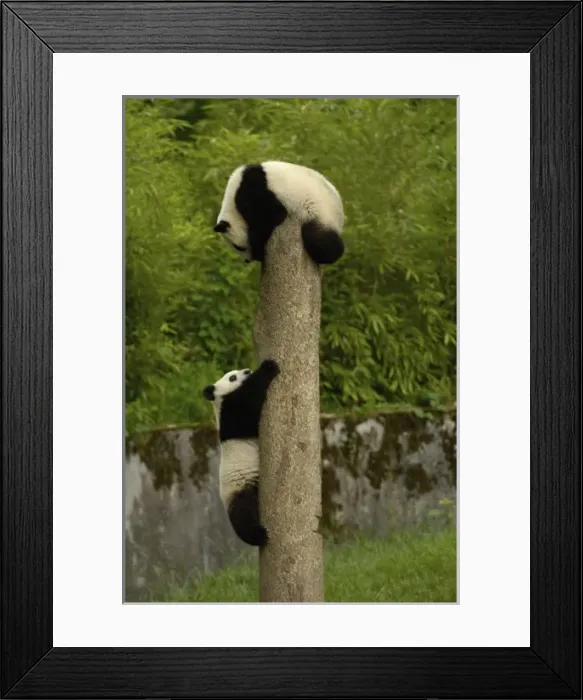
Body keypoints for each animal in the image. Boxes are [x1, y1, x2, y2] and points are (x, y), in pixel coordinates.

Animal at [202, 358, 280, 547]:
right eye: (232, 377)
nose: (247, 371)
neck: (220, 401)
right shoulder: (231, 414)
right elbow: (249, 407)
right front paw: (268, 367)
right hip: (240, 488)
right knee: (243, 515)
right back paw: (259, 535)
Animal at [213, 160, 345, 266]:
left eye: (238, 247)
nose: (247, 261)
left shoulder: (254, 193)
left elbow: (273, 216)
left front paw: (259, 252)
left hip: (321, 214)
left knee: (320, 242)